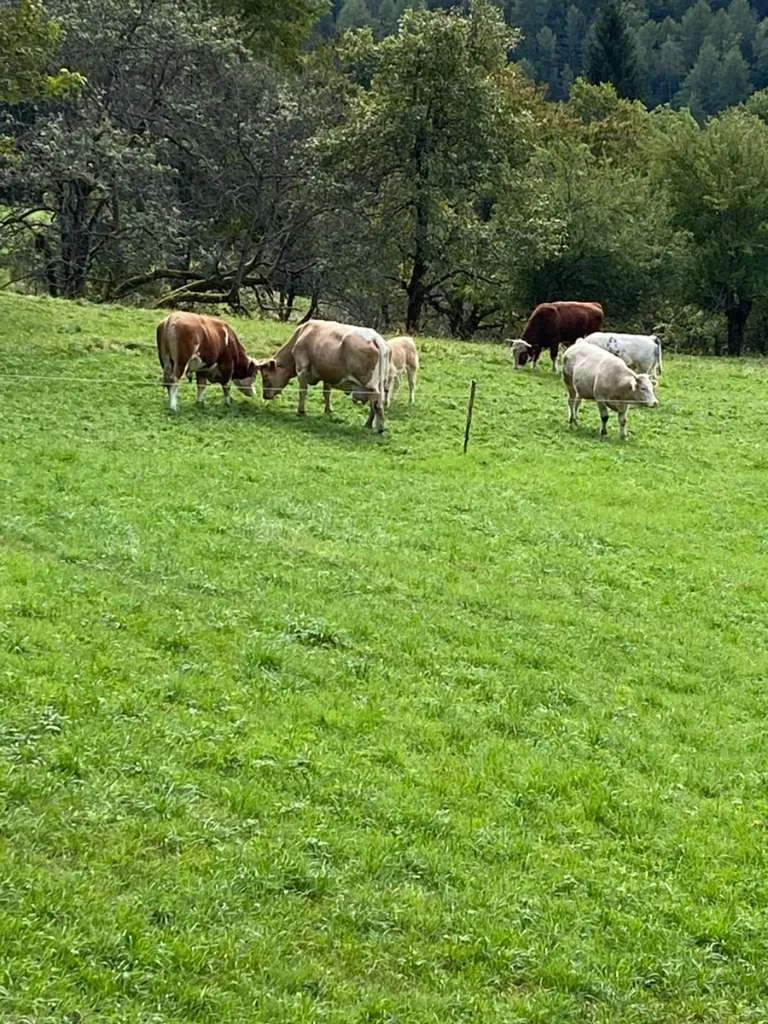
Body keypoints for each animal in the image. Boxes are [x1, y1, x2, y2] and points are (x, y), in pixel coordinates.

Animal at [255, 319, 389, 432]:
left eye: (265, 376)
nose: (265, 396)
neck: (302, 335)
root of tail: (375, 338)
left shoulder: (302, 370)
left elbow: (302, 392)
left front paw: (301, 411)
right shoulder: (327, 375)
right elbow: (326, 393)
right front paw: (328, 410)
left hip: (370, 385)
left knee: (377, 404)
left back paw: (379, 428)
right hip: (378, 384)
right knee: (374, 404)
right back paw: (368, 424)